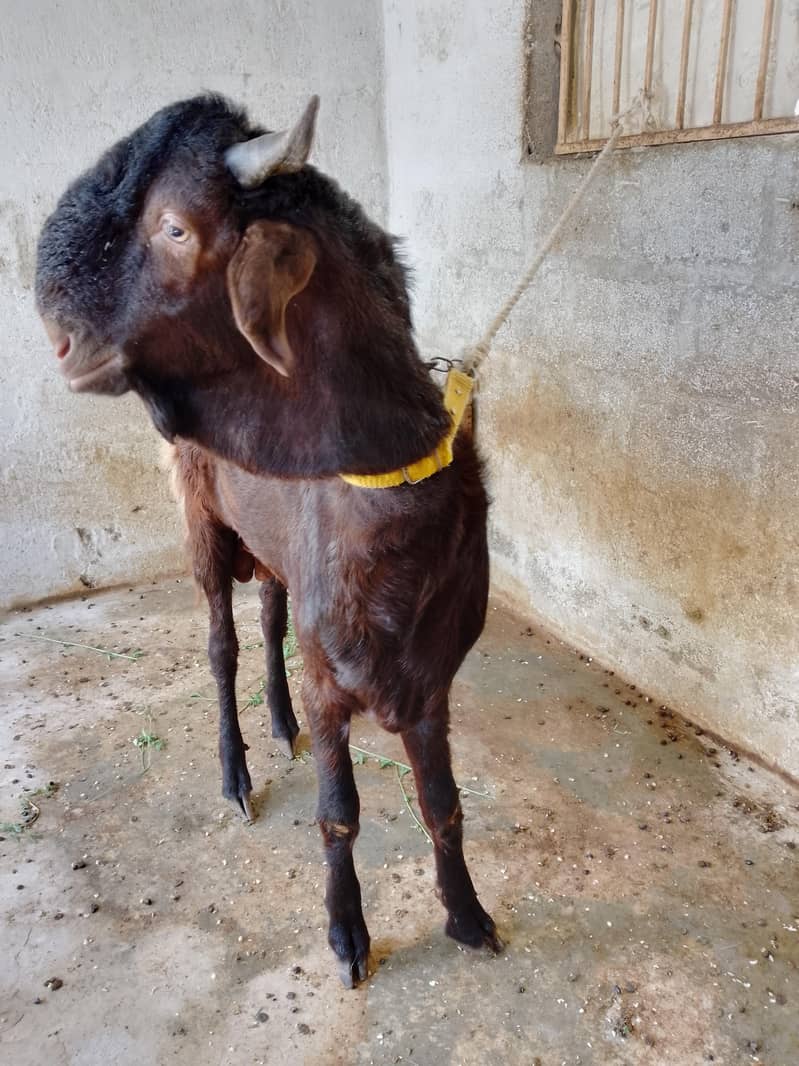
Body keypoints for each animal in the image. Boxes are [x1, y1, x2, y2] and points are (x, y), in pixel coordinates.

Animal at [36, 94, 502, 986]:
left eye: (174, 227)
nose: (61, 342)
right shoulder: (332, 683)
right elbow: (339, 814)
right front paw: (347, 936)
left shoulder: (433, 679)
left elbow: (444, 804)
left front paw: (467, 914)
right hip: (203, 523)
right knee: (221, 644)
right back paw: (237, 772)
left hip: (277, 556)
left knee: (270, 617)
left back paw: (279, 726)